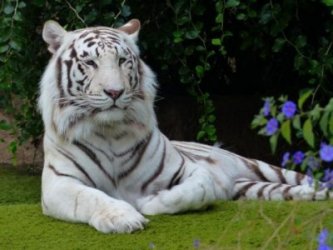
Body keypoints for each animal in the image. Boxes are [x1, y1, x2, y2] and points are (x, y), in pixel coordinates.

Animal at [39, 18, 330, 233]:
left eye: (122, 60)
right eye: (90, 62)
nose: (114, 92)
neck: (110, 130)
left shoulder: (191, 170)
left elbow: (195, 191)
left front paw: (148, 203)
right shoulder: (58, 183)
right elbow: (91, 197)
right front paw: (124, 217)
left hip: (260, 166)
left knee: (307, 179)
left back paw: (319, 191)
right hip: (251, 188)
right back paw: (310, 195)